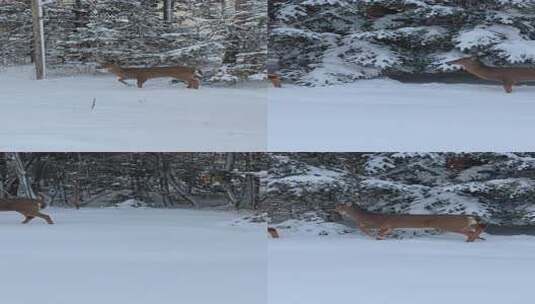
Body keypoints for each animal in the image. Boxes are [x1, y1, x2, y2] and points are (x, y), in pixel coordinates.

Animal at [338, 203, 488, 243]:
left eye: (340, 206)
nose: (334, 209)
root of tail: (469, 216)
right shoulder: (389, 226)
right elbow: (383, 233)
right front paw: (380, 238)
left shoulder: (377, 223)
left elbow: (363, 228)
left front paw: (373, 236)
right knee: (478, 227)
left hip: (451, 225)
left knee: (471, 231)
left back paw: (470, 240)